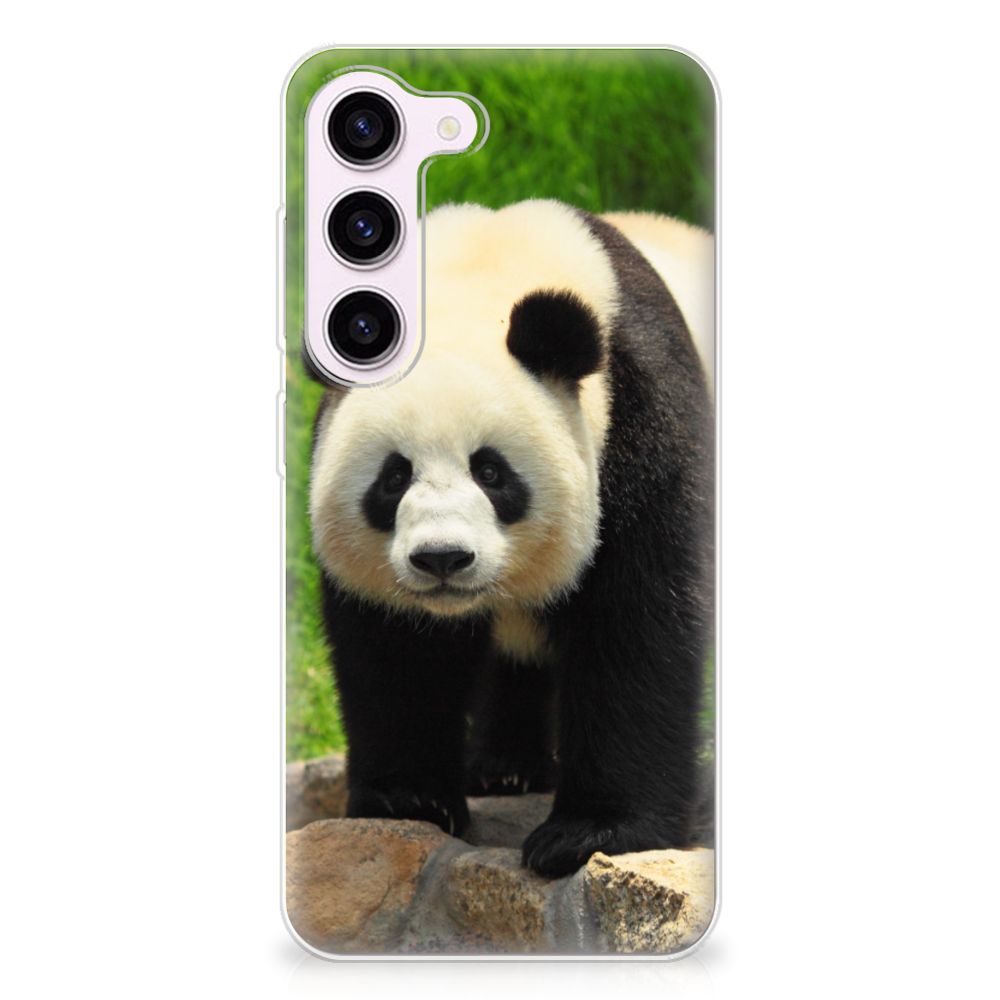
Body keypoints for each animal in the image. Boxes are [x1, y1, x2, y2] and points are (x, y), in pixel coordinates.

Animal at [309, 199, 714, 877]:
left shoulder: (641, 421)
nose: (442, 559)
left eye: (492, 472)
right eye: (394, 477)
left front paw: (591, 832)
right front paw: (408, 799)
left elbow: (635, 625)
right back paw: (504, 768)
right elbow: (396, 651)